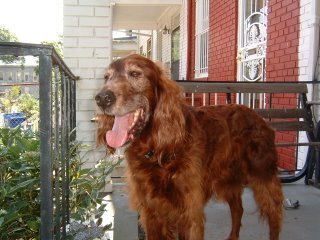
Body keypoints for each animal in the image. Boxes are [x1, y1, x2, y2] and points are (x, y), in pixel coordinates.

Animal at [94, 54, 282, 240]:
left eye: (135, 74)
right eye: (106, 77)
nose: (102, 98)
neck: (156, 150)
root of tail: (257, 116)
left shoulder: (189, 213)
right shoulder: (151, 213)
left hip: (262, 177)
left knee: (275, 216)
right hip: (228, 179)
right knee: (238, 209)